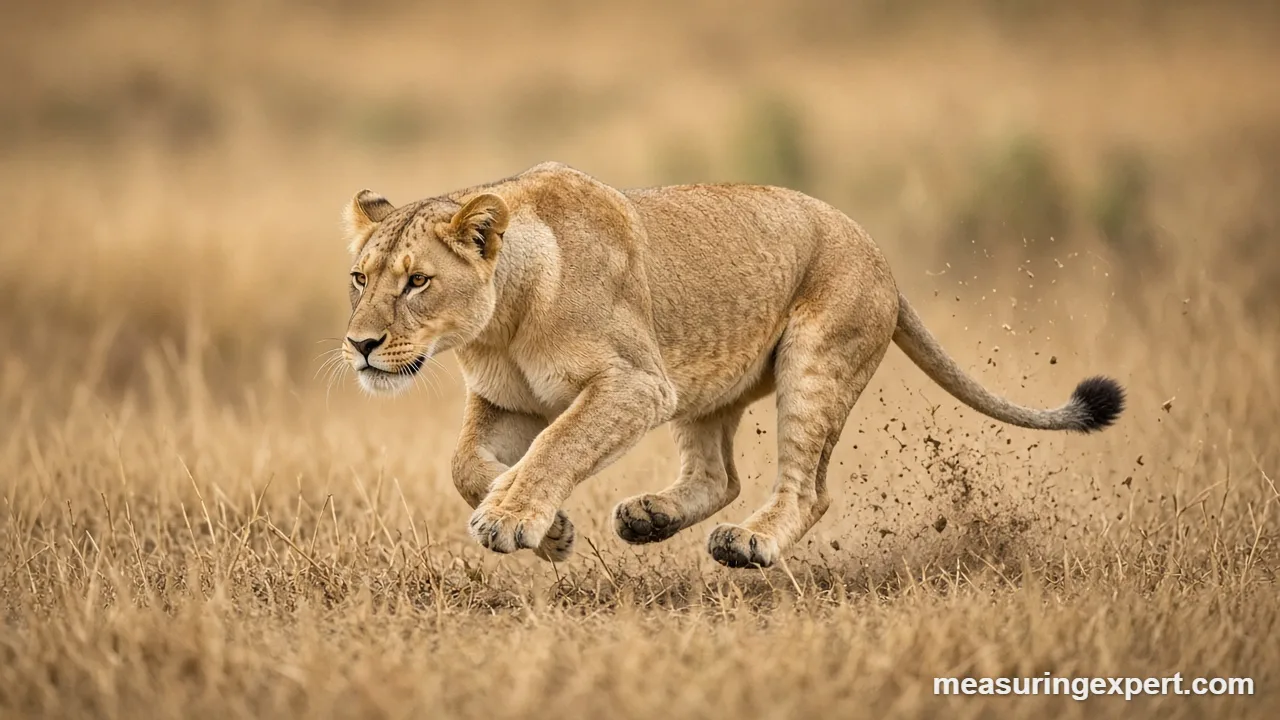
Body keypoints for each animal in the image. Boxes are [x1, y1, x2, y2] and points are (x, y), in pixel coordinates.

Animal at [339, 161, 1124, 568]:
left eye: (417, 282)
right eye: (360, 278)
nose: (361, 345)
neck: (500, 324)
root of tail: (882, 259)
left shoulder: (636, 384)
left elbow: (558, 444)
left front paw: (514, 517)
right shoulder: (509, 402)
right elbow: (465, 465)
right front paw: (550, 526)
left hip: (814, 362)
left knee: (807, 489)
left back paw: (748, 542)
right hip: (704, 385)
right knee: (719, 476)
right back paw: (651, 518)